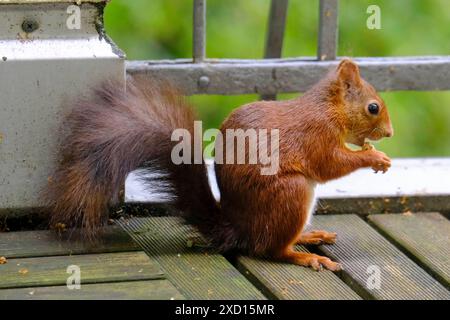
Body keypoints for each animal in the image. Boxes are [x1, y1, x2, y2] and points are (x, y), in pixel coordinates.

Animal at [44, 59, 392, 270]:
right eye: (373, 107)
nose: (389, 133)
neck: (328, 109)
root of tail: (239, 228)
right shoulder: (315, 136)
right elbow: (330, 164)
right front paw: (374, 158)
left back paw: (308, 237)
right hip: (290, 193)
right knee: (270, 250)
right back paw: (303, 257)